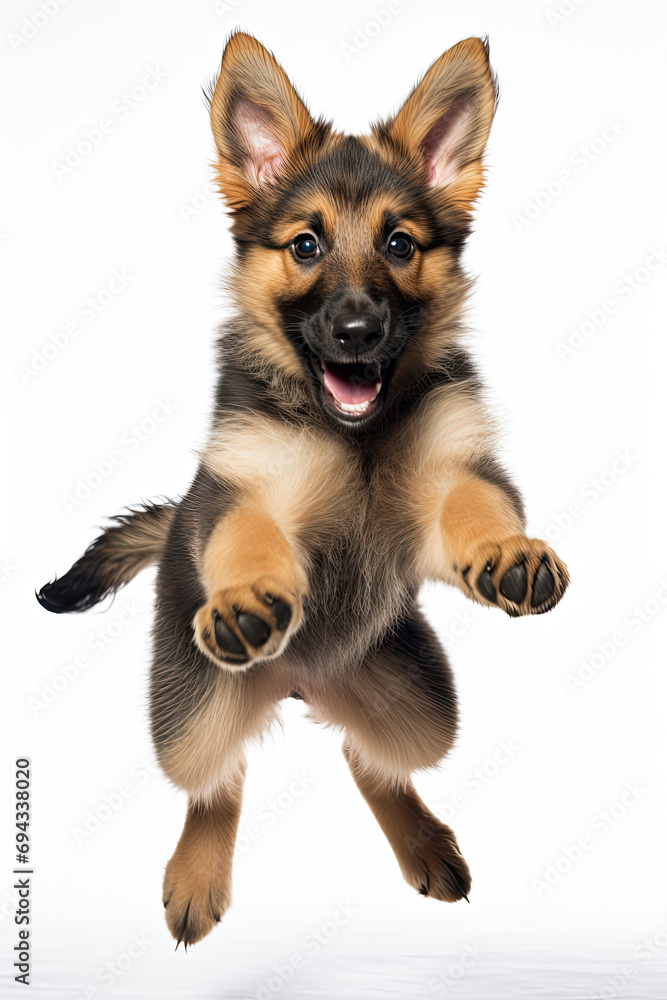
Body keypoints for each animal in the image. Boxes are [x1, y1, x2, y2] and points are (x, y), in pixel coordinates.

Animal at [36, 33, 568, 944]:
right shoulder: (244, 491)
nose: (356, 332)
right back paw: (196, 874)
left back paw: (422, 842)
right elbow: (249, 535)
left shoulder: (455, 472)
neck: (353, 436)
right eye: (305, 247)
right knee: (214, 781)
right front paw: (248, 593)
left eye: (399, 245)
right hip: (191, 708)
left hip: (423, 706)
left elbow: (474, 504)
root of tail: (298, 679)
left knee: (367, 755)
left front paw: (505, 549)